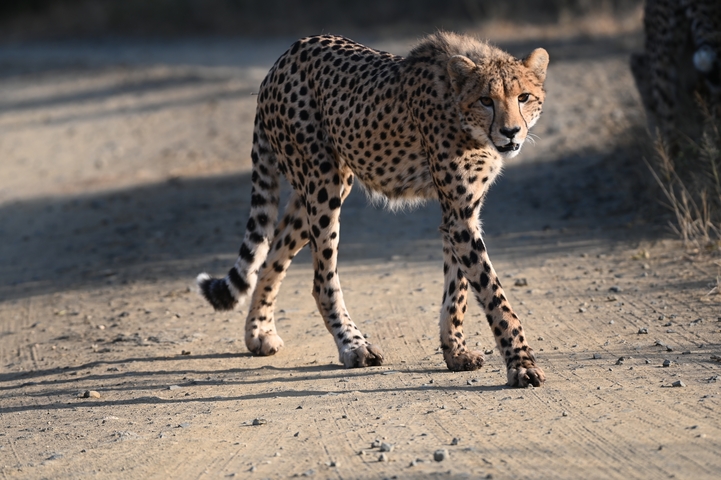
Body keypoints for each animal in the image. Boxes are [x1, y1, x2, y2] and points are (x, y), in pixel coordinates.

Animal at [196, 31, 549, 387]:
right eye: (486, 100)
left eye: (523, 97)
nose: (510, 132)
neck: (461, 111)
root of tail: (286, 56)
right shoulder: (460, 215)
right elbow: (493, 293)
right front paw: (521, 364)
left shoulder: (461, 212)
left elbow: (459, 288)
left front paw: (456, 351)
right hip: (324, 183)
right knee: (321, 280)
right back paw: (353, 346)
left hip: (316, 189)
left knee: (272, 254)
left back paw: (259, 332)